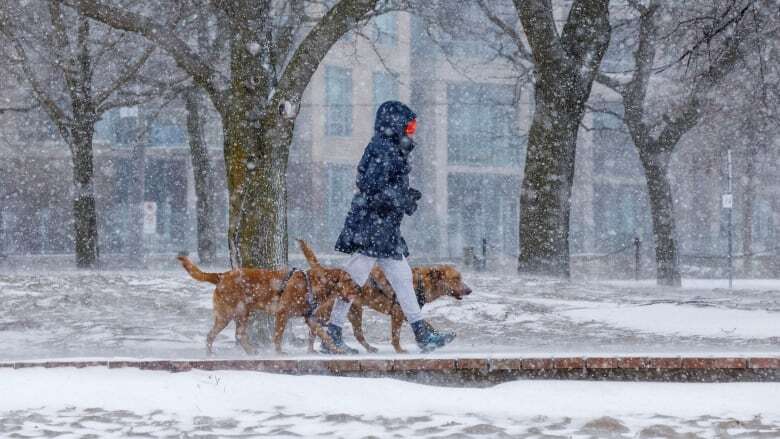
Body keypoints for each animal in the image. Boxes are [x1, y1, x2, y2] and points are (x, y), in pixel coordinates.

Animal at [177, 249, 360, 356]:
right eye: (348, 280)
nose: (359, 288)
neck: (312, 284)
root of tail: (221, 275)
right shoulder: (282, 314)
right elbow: (278, 335)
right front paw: (279, 352)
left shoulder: (310, 319)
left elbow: (325, 335)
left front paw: (336, 349)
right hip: (228, 314)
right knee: (213, 334)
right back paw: (210, 353)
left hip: (243, 313)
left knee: (239, 334)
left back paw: (250, 351)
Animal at [298, 241, 470, 354]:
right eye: (456, 279)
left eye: (461, 277)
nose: (470, 290)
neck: (421, 282)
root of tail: (329, 275)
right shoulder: (398, 313)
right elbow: (396, 335)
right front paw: (399, 350)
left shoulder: (406, 312)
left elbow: (426, 323)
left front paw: (433, 339)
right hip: (332, 310)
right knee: (315, 324)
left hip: (355, 311)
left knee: (356, 334)